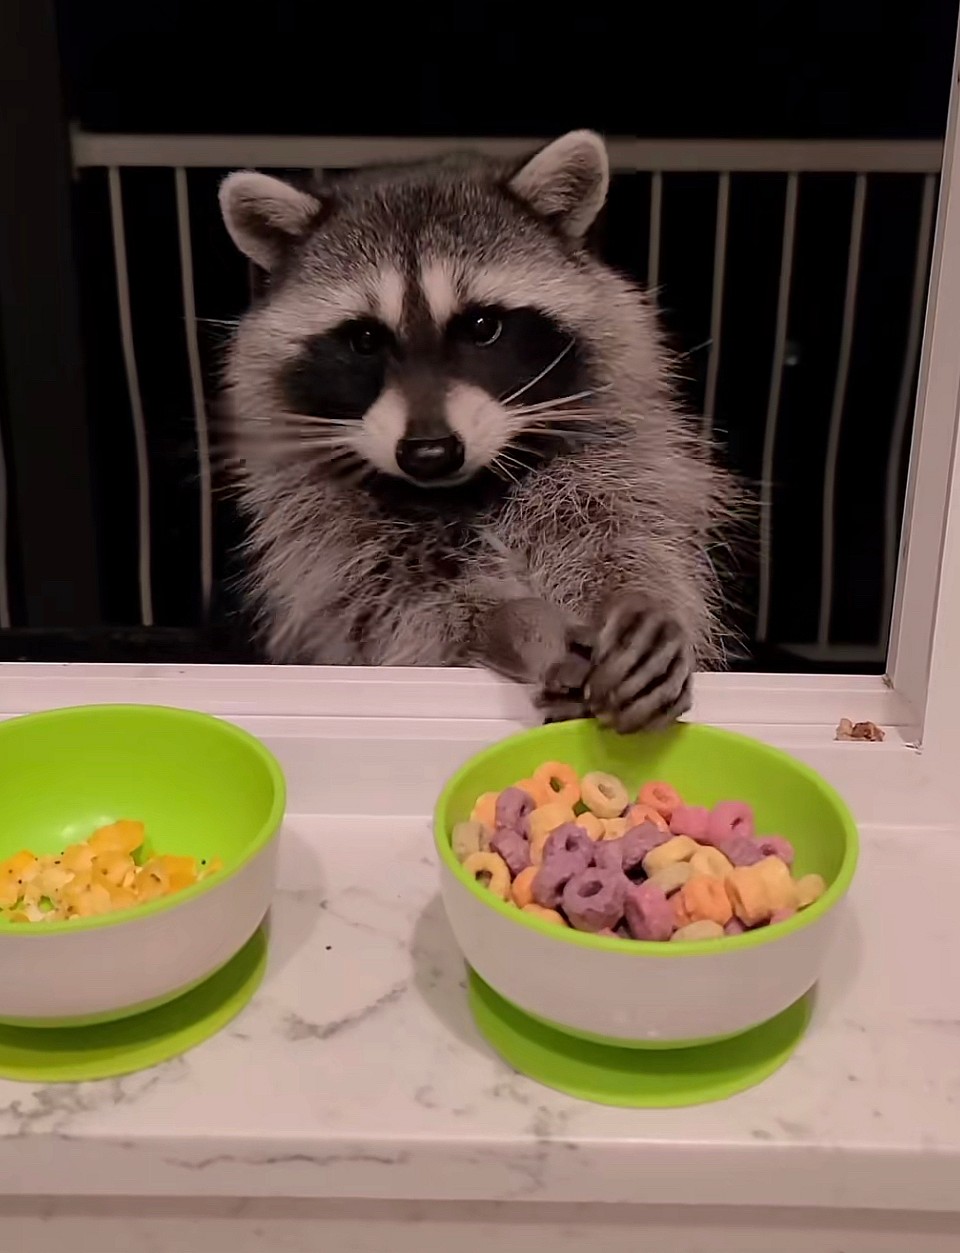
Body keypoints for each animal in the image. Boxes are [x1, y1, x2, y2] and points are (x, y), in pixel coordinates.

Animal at [219, 131, 731, 731]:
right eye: (365, 340)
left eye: (483, 326)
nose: (429, 453)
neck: (464, 486)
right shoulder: (324, 536)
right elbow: (397, 605)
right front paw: (521, 624)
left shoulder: (609, 453)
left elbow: (622, 533)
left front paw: (634, 599)